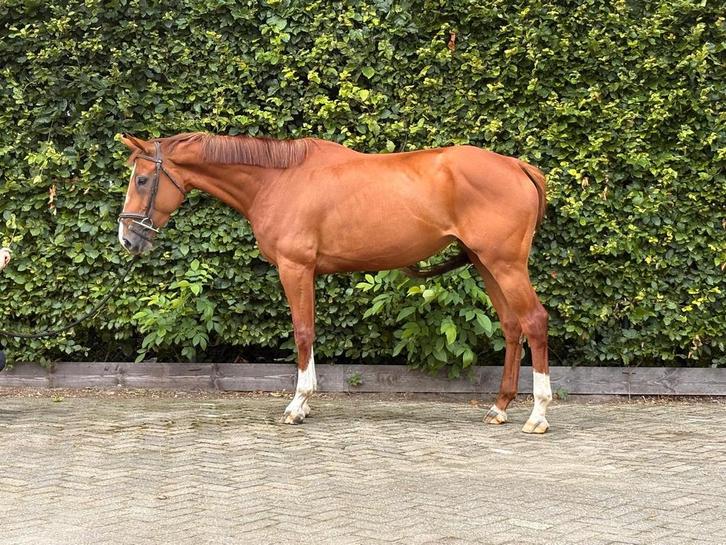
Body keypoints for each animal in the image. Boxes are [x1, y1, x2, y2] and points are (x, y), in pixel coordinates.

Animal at [118, 133, 551, 433]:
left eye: (142, 180)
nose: (127, 239)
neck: (277, 181)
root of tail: (517, 167)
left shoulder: (295, 268)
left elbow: (302, 332)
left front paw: (298, 405)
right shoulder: (305, 272)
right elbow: (309, 331)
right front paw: (305, 403)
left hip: (506, 264)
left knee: (534, 321)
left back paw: (538, 414)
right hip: (484, 262)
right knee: (511, 327)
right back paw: (499, 408)